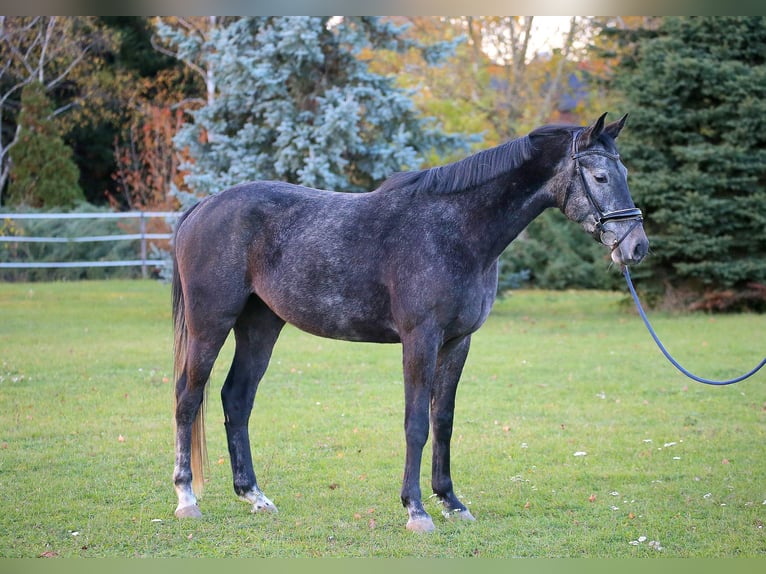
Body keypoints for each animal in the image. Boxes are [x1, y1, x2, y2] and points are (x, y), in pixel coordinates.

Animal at [170, 113, 649, 532]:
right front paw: (416, 510)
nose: (636, 246)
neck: (456, 230)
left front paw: (452, 502)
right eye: (600, 177)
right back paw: (186, 499)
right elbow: (416, 423)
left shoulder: (457, 342)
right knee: (188, 398)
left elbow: (444, 421)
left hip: (261, 326)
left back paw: (254, 495)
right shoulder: (421, 339)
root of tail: (204, 206)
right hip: (210, 324)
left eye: (624, 171)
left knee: (236, 399)